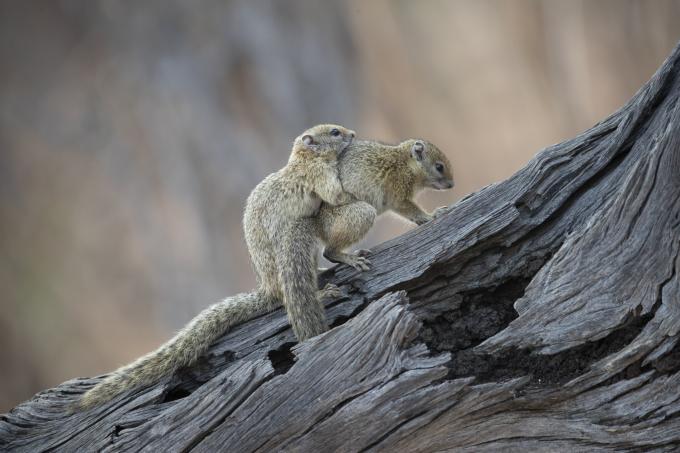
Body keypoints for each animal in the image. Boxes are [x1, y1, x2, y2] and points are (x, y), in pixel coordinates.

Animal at [77, 123, 356, 410]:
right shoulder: (320, 176)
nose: (353, 135)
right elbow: (336, 195)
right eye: (334, 132)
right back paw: (324, 292)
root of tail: (267, 288)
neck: (303, 158)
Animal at [316, 138, 454, 270]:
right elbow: (411, 210)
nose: (452, 185)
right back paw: (352, 259)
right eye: (439, 167)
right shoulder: (397, 191)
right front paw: (432, 215)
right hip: (361, 214)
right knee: (329, 252)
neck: (406, 163)